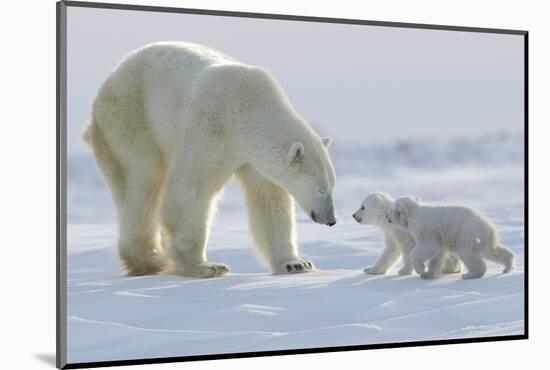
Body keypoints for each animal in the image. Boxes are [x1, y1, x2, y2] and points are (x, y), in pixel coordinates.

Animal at [84, 42, 338, 278]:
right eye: (321, 189)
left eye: (331, 186)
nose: (331, 220)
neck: (246, 108)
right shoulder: (209, 126)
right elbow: (191, 188)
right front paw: (205, 266)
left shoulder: (252, 157)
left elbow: (269, 200)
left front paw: (296, 264)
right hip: (130, 117)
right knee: (144, 180)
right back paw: (151, 261)